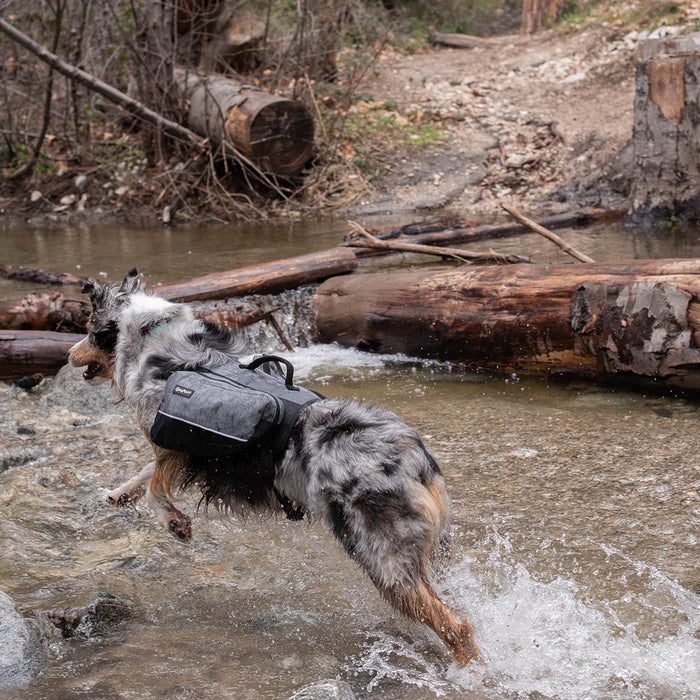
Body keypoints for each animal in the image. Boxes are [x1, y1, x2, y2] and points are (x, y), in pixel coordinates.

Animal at [67, 268, 482, 668]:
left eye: (88, 328)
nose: (68, 354)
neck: (150, 336)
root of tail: (415, 458)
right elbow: (144, 472)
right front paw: (119, 494)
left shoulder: (175, 441)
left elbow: (156, 485)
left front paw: (174, 523)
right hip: (432, 553)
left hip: (382, 559)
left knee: (457, 627)